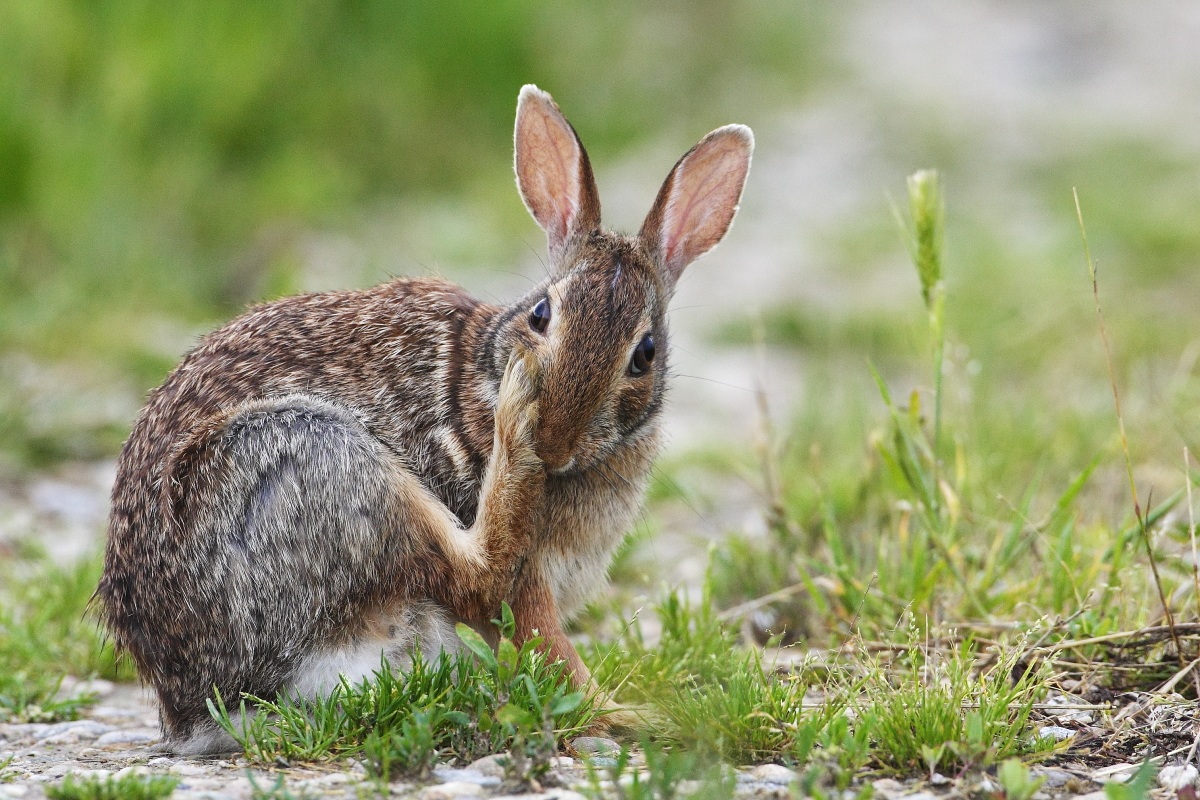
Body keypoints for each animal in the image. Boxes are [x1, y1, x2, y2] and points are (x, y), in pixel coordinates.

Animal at [97, 84, 753, 755]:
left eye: (645, 353)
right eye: (542, 315)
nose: (554, 441)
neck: (489, 368)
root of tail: (199, 708)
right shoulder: (530, 584)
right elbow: (539, 639)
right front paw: (618, 712)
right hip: (319, 461)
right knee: (475, 574)